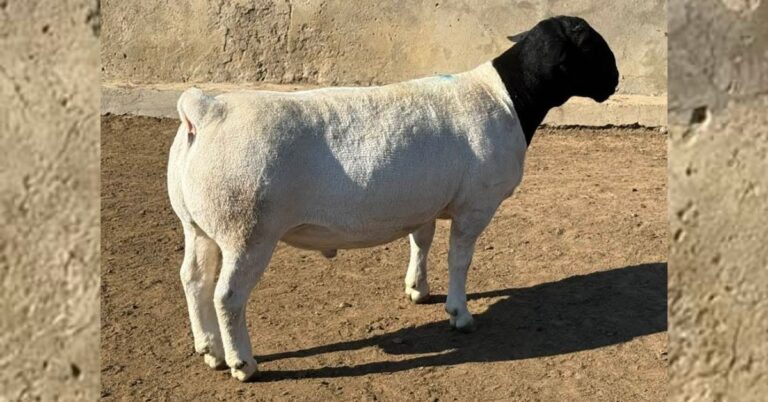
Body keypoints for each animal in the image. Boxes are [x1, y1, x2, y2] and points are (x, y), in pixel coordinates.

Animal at [167, 15, 619, 381]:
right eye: (591, 47)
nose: (615, 82)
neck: (507, 97)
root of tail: (206, 109)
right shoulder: (476, 204)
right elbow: (460, 259)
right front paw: (460, 314)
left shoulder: (425, 203)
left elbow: (421, 241)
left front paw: (418, 289)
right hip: (247, 229)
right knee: (227, 296)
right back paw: (242, 363)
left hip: (199, 224)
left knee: (193, 279)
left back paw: (209, 350)